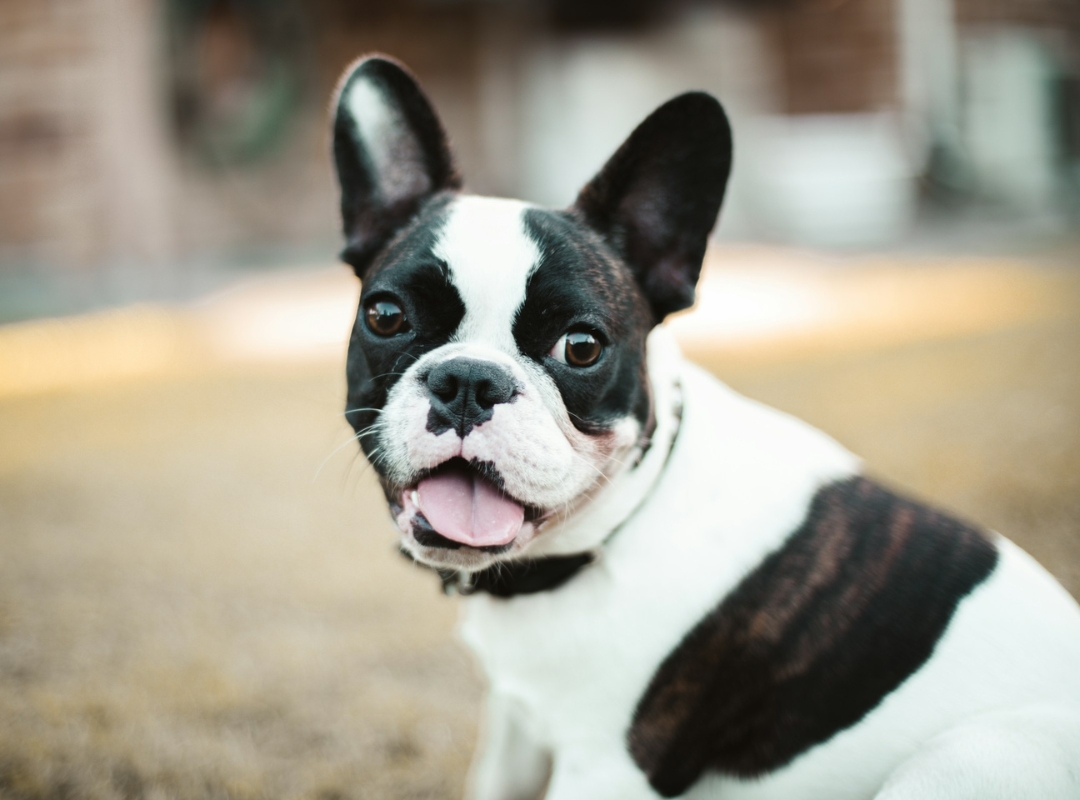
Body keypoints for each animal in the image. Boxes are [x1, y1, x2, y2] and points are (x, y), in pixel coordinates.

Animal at [326, 56, 1080, 798]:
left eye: (581, 347)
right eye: (387, 316)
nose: (470, 382)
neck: (607, 536)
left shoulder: (604, 768)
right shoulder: (516, 724)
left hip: (969, 755)